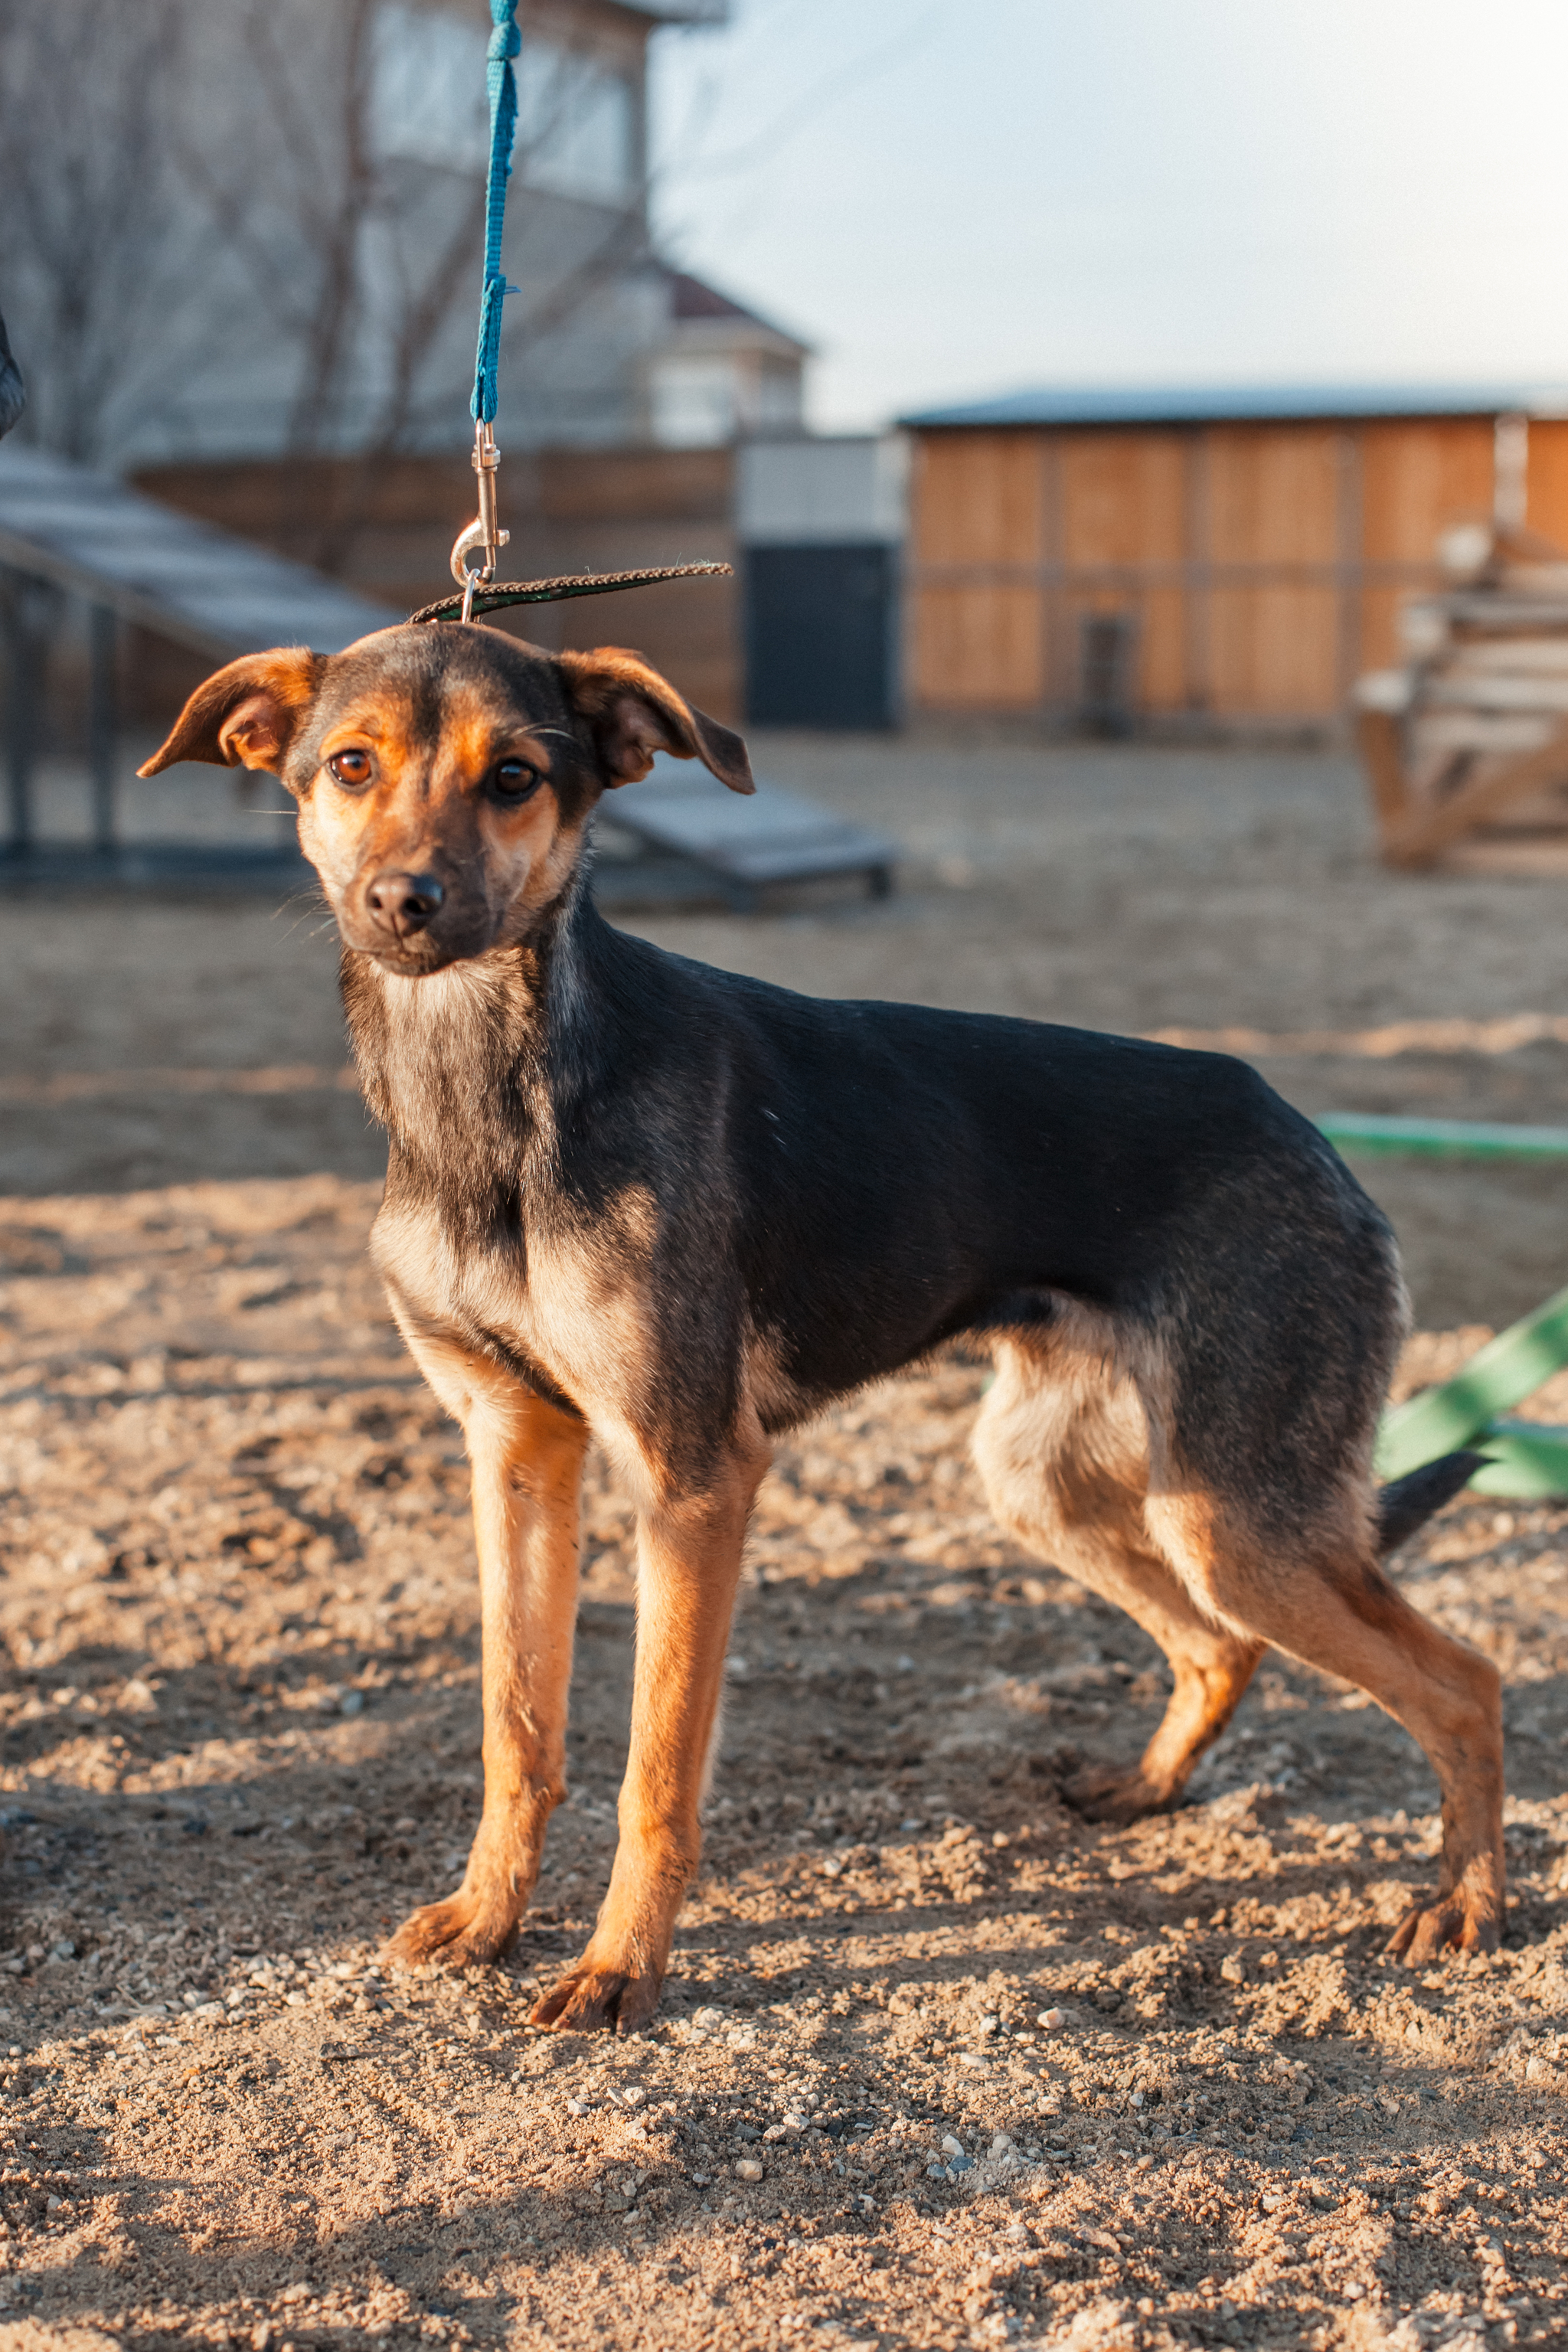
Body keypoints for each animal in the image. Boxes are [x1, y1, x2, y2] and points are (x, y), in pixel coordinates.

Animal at [146, 630, 1504, 2041]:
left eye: (514, 775)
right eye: (351, 767)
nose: (403, 903)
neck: (492, 1090)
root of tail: (1305, 1134)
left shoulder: (693, 1482)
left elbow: (654, 1769)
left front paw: (620, 1967)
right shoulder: (515, 1453)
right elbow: (516, 1727)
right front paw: (487, 1919)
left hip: (1234, 1520)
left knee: (1468, 1686)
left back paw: (1463, 1902)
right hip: (1059, 1487)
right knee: (1220, 1645)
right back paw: (1149, 1790)